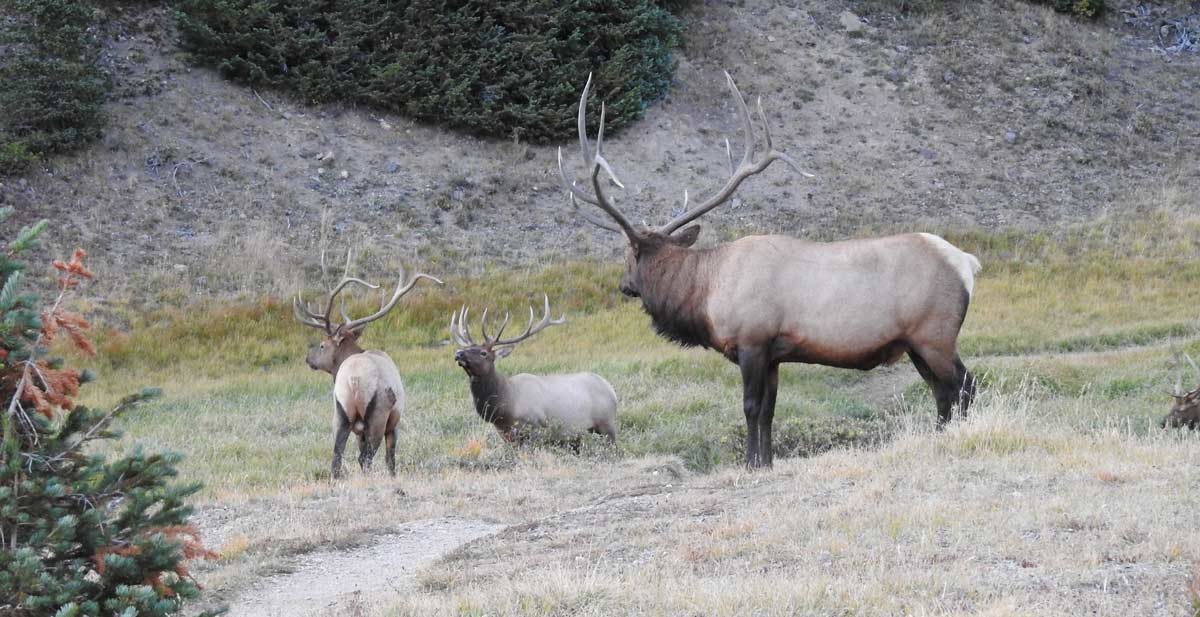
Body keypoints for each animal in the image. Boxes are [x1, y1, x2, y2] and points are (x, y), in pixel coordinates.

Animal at [293, 266, 442, 478]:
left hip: (341, 411)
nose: (308, 358)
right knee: (366, 457)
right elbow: (390, 459)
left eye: (322, 345)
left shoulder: (359, 429)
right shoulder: (393, 423)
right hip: (378, 415)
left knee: (338, 457)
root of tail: (354, 379)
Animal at [449, 294, 618, 448]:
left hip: (607, 424)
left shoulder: (534, 426)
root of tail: (612, 391)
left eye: (483, 353)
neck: (505, 407)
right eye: (467, 348)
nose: (459, 353)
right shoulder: (506, 434)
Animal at [558, 72, 981, 468]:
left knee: (964, 385)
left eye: (629, 255)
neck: (706, 293)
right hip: (915, 343)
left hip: (935, 334)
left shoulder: (753, 340)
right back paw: (939, 436)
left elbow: (750, 407)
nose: (624, 285)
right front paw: (768, 460)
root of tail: (967, 263)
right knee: (941, 391)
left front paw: (750, 462)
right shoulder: (775, 355)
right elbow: (769, 411)